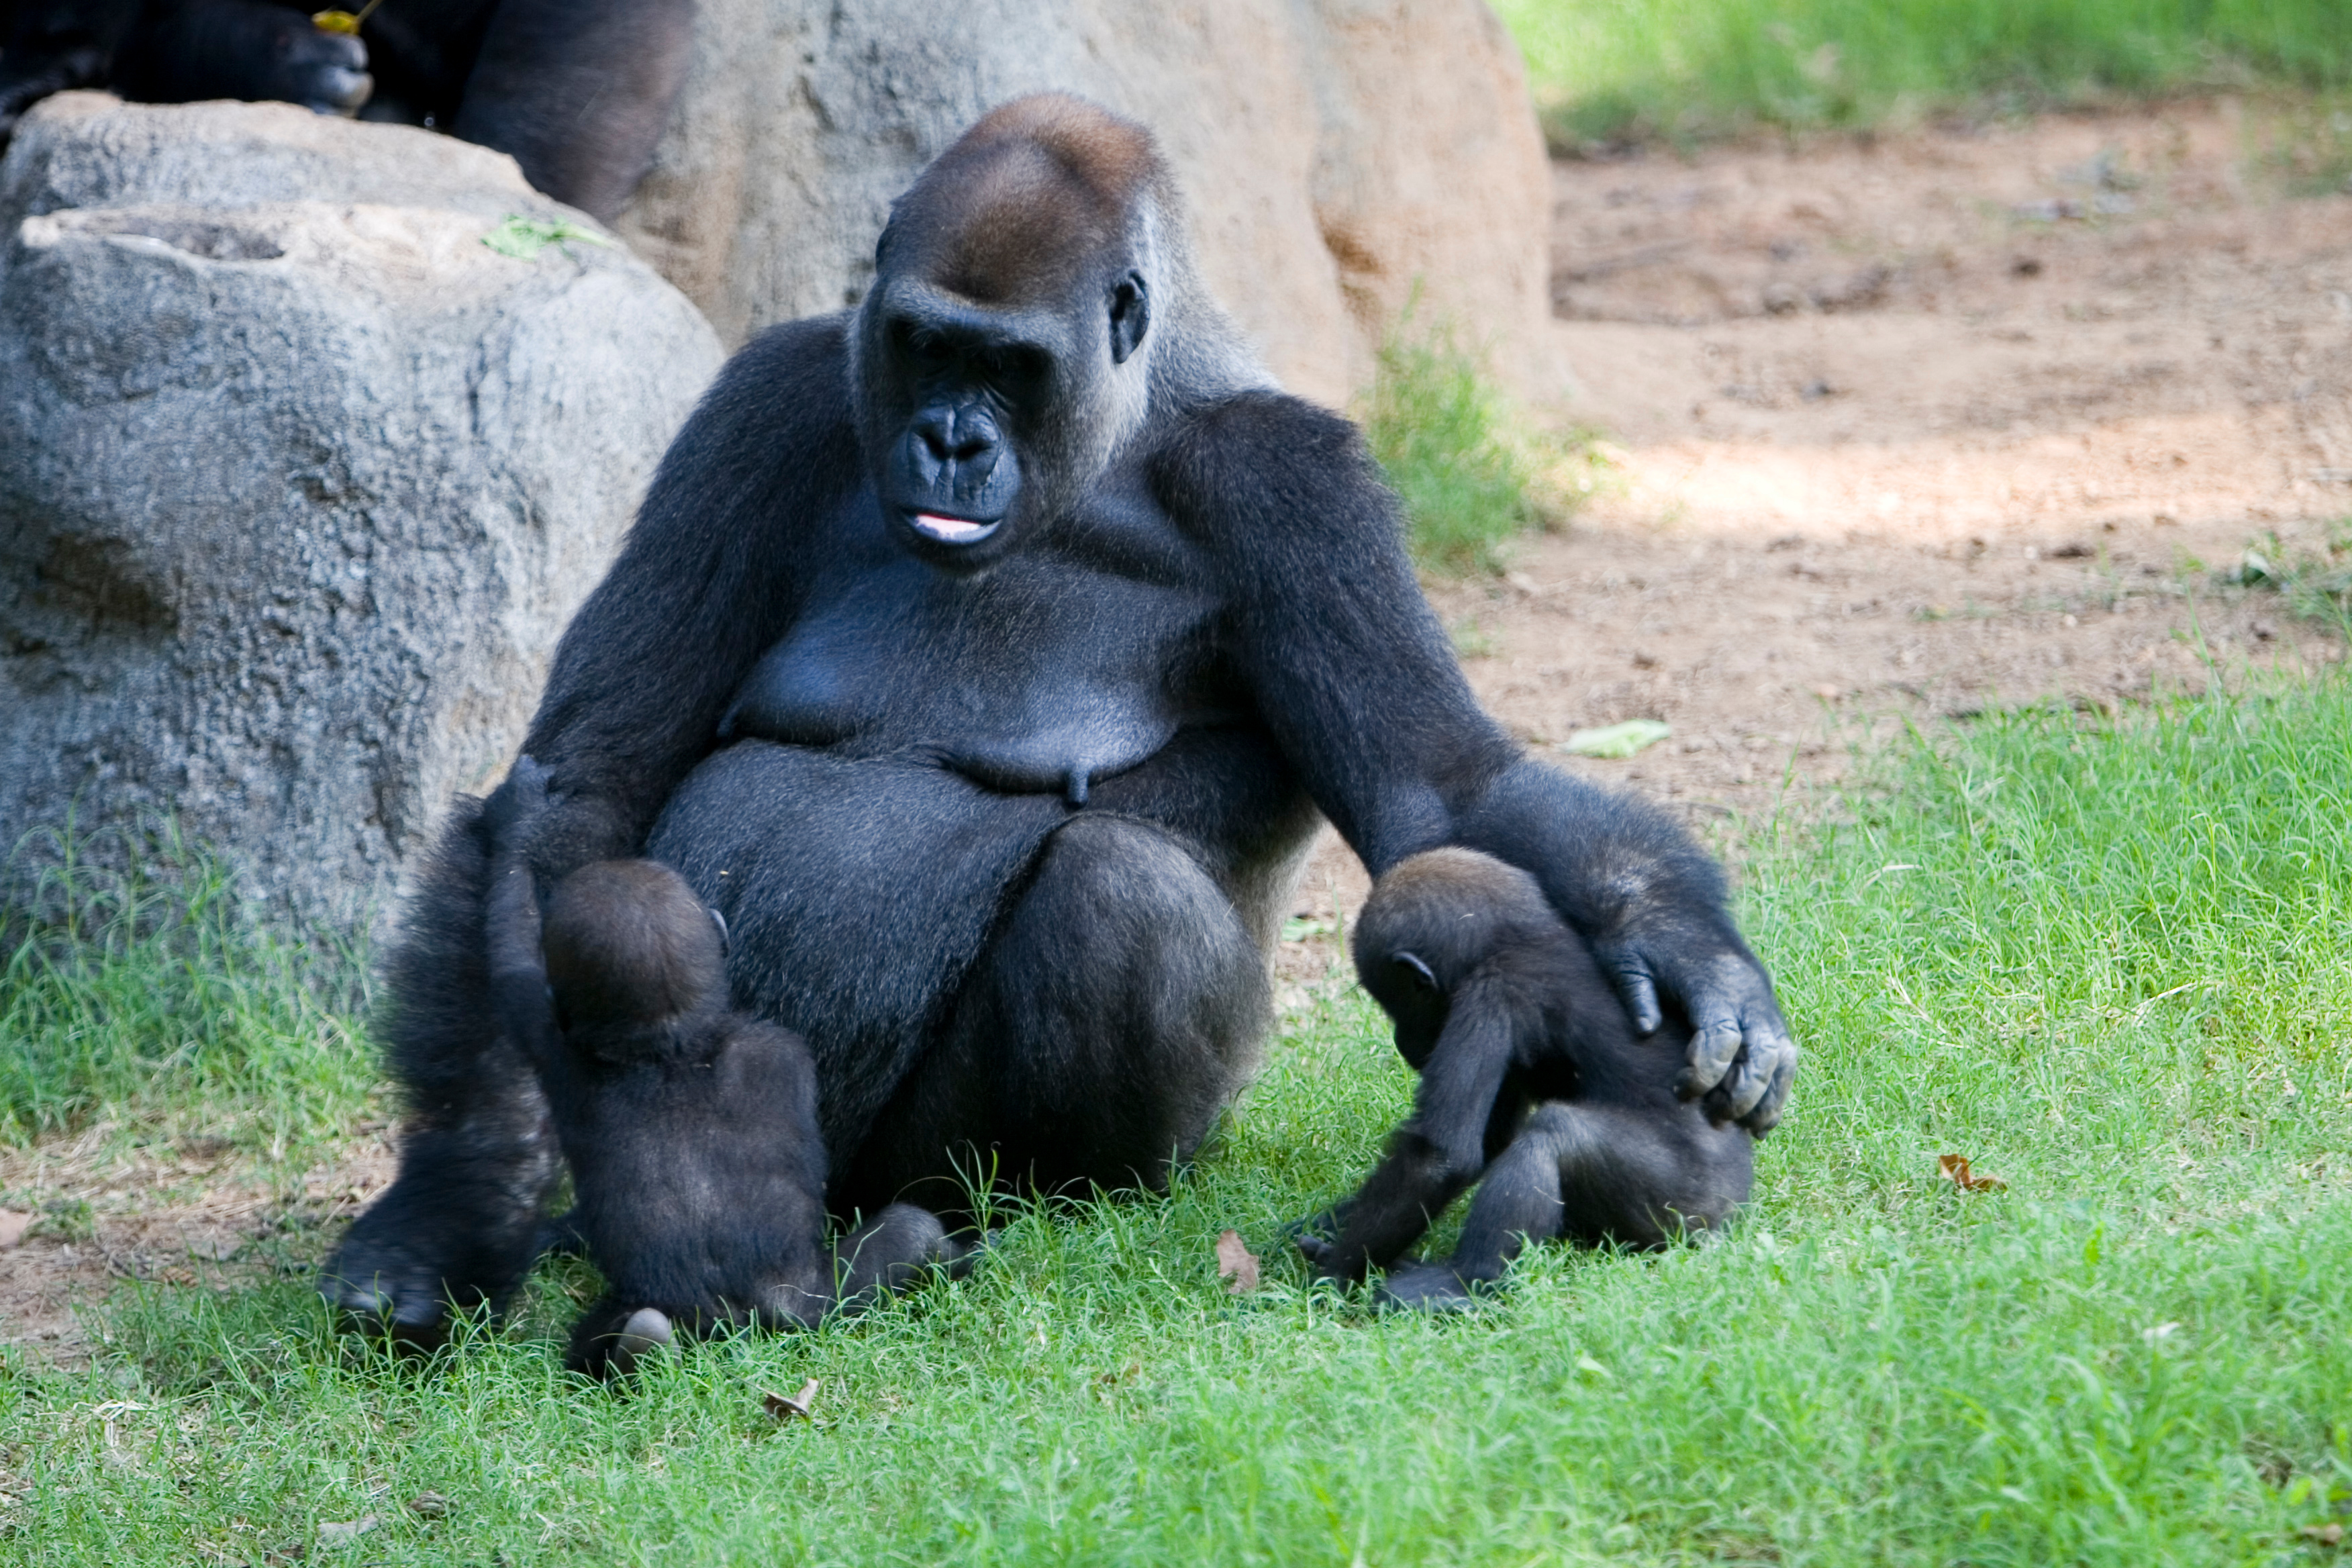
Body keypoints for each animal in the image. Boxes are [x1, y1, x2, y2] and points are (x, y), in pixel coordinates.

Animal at [1295, 847, 1756, 1311]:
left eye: (1399, 1004)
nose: (1400, 1040)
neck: (1524, 936)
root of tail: (1732, 1215)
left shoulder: (1489, 994)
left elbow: (1440, 1157)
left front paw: (1334, 1271)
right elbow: (1490, 1137)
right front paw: (1337, 1220)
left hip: (1687, 1207)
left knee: (1555, 1134)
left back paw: (1465, 1281)